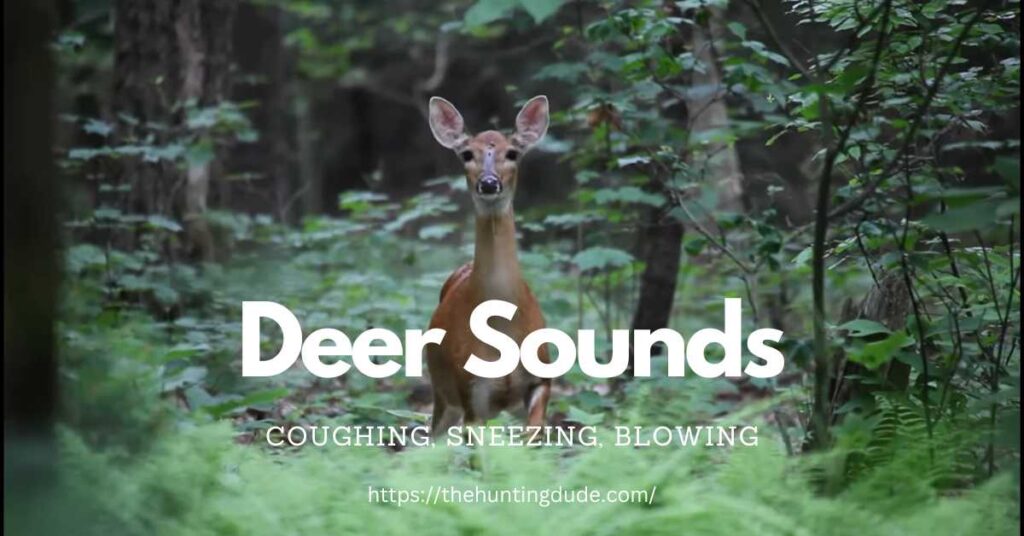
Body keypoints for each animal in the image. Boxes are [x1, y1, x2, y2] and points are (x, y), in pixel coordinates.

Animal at [424, 95, 552, 438]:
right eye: (467, 154)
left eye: (513, 153)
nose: (489, 183)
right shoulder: (471, 394)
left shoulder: (542, 380)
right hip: (443, 392)